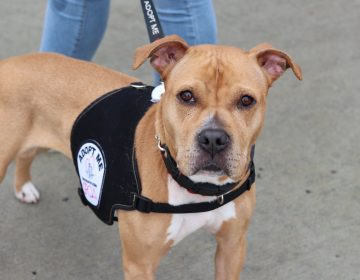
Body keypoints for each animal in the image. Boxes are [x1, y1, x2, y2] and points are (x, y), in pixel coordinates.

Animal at [0, 35, 300, 280]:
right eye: (186, 96)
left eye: (247, 100)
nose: (214, 139)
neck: (195, 188)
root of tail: (9, 63)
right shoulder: (139, 264)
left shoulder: (232, 246)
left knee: (27, 152)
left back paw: (23, 186)